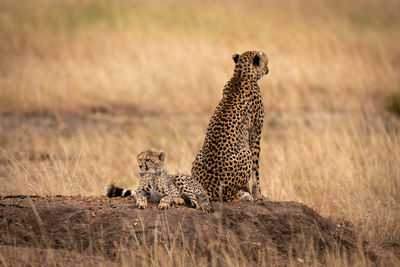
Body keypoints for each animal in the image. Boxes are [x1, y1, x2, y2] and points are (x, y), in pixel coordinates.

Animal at [191, 50, 268, 201]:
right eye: (266, 61)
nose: (268, 69)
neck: (241, 75)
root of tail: (208, 188)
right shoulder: (255, 134)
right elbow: (256, 170)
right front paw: (258, 194)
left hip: (198, 155)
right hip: (245, 153)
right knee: (229, 197)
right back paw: (244, 196)